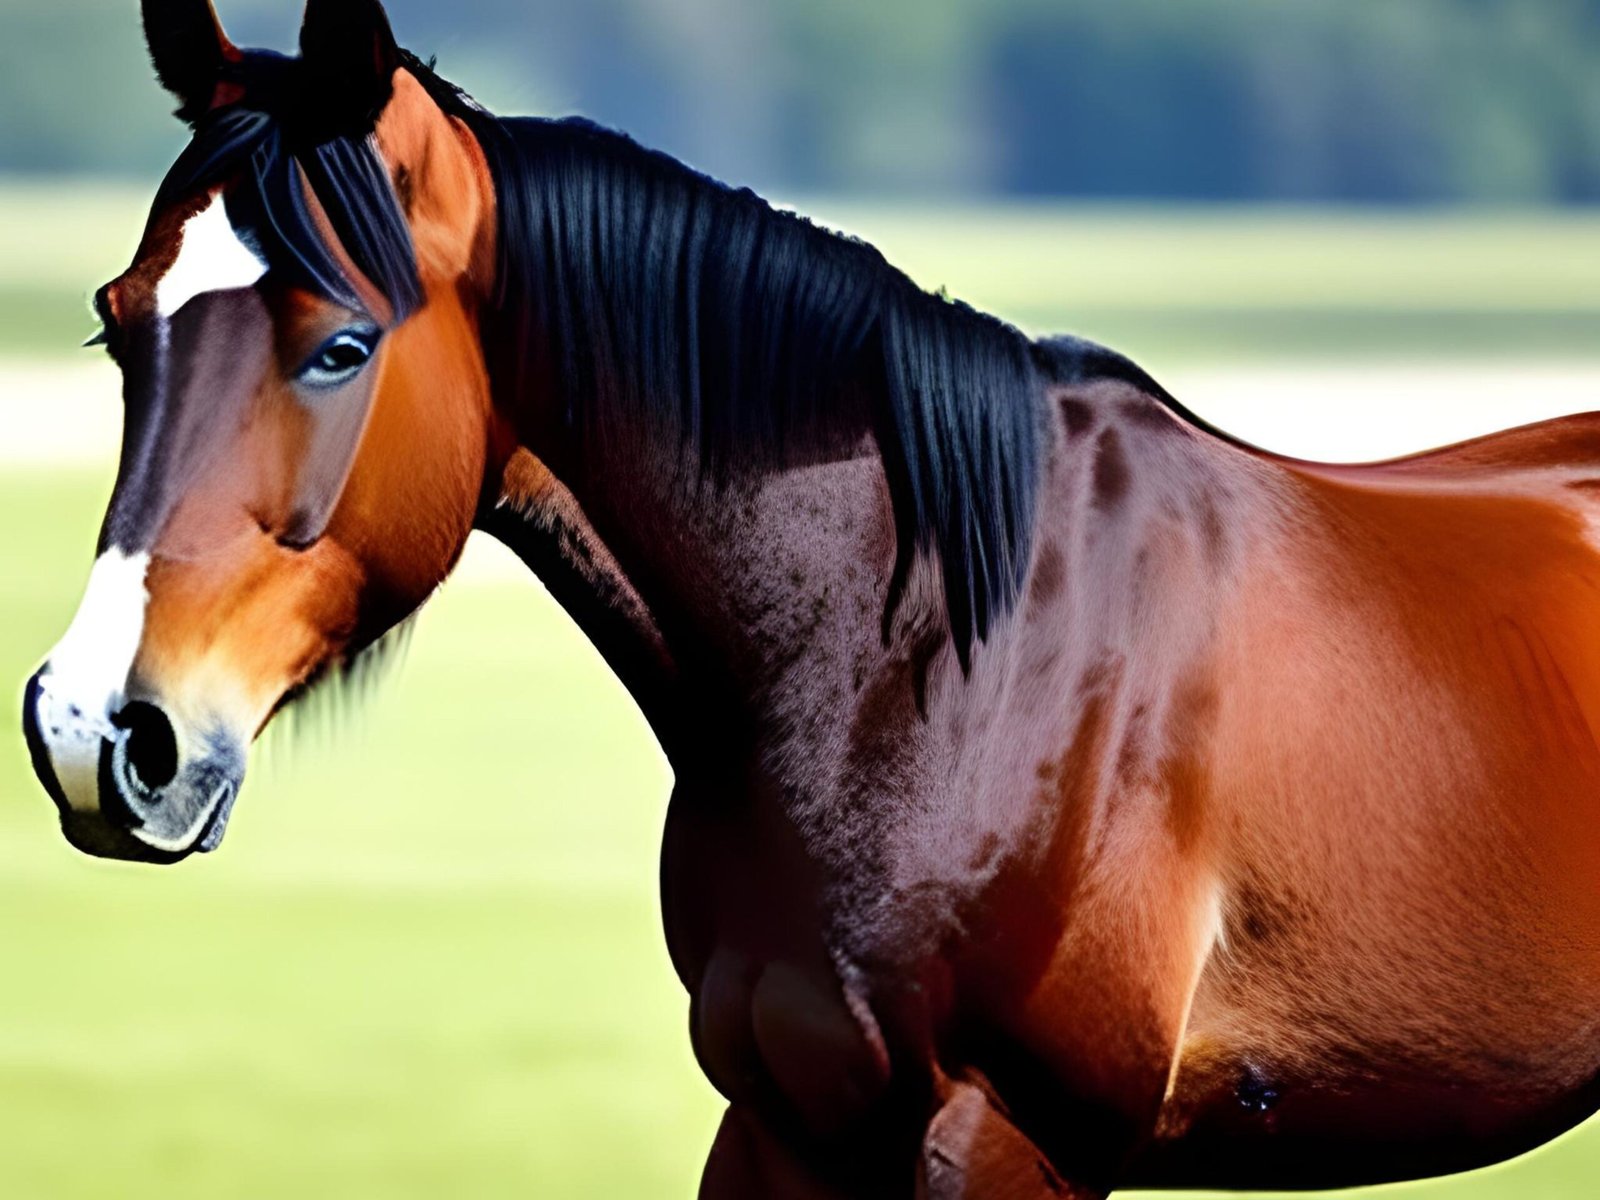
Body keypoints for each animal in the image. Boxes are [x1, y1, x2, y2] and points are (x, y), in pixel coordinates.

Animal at [21, 1, 1600, 1195]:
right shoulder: (785, 1121)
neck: (931, 664)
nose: (98, 733)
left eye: (341, 344)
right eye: (115, 323)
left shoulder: (1006, 1137)